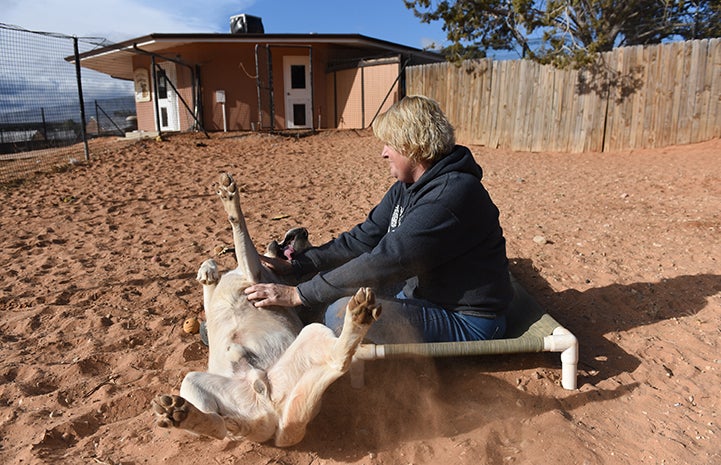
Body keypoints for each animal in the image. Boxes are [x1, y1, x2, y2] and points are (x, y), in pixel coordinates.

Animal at [149, 172, 380, 444]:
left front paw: (230, 199)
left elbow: (240, 234)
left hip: (314, 334)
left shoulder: (253, 273)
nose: (303, 230)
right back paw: (182, 414)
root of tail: (270, 418)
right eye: (308, 245)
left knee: (338, 360)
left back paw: (358, 314)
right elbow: (210, 275)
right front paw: (207, 270)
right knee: (220, 427)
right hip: (194, 382)